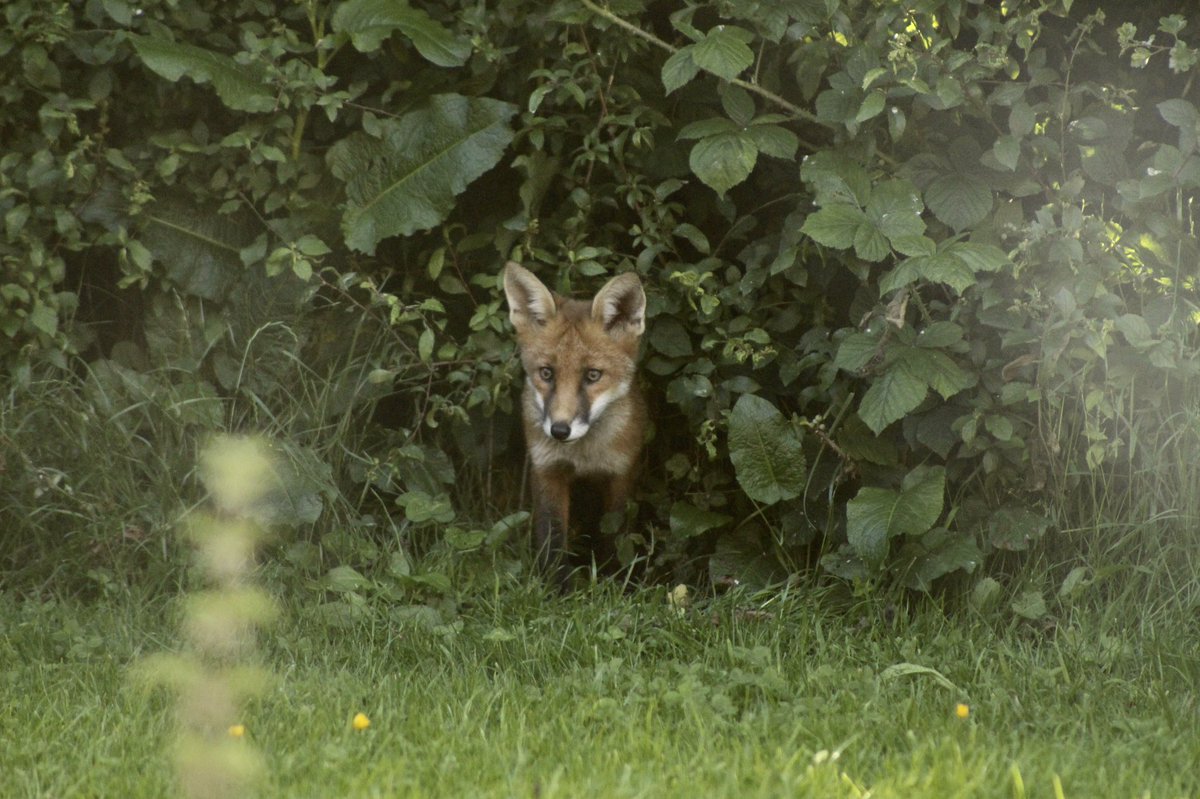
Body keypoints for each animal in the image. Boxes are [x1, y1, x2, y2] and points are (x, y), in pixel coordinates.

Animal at [502, 261, 647, 587]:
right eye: (546, 373)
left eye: (593, 375)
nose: (559, 430)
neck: (584, 456)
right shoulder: (547, 469)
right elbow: (552, 536)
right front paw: (557, 588)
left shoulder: (622, 473)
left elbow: (616, 535)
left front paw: (615, 581)